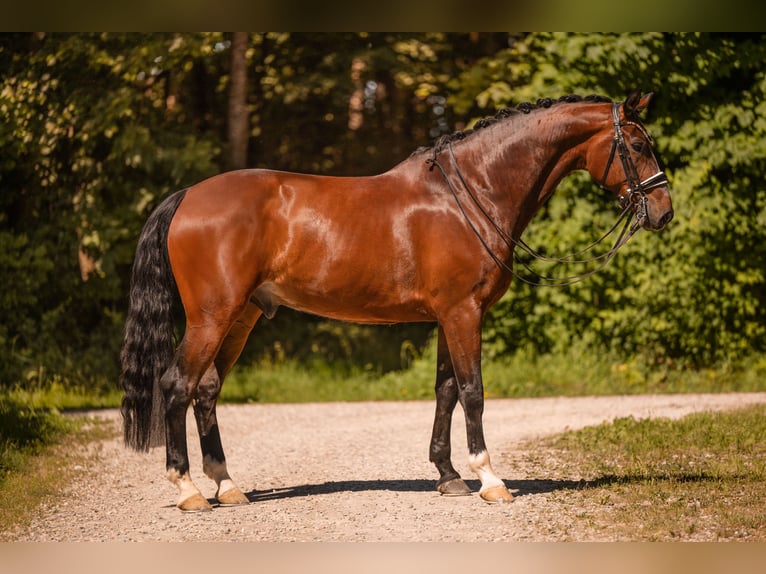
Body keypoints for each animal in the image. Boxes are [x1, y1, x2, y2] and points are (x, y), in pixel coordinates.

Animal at [120, 90, 673, 511]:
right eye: (638, 144)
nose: (664, 211)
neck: (471, 194)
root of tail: (188, 196)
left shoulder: (448, 317)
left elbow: (446, 391)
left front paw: (449, 476)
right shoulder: (463, 313)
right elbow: (473, 392)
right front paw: (491, 481)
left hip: (242, 317)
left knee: (207, 390)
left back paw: (228, 486)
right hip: (212, 318)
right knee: (177, 385)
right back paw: (189, 490)